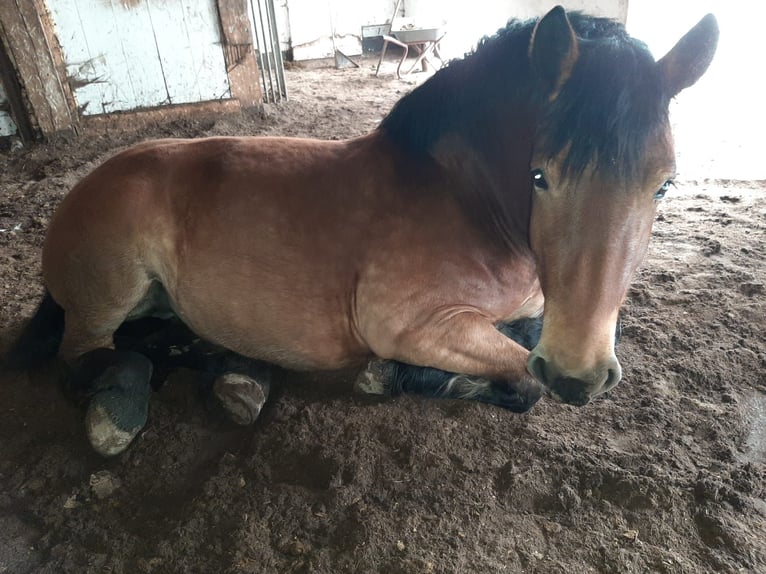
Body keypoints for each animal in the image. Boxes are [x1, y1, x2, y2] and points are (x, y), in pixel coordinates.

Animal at [7, 7, 720, 460]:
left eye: (665, 185)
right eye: (541, 175)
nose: (579, 375)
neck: (462, 198)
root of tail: (93, 181)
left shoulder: (542, 314)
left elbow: (525, 348)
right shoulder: (411, 325)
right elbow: (522, 381)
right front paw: (400, 378)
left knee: (165, 339)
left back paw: (236, 374)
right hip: (112, 292)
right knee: (86, 357)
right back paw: (121, 404)